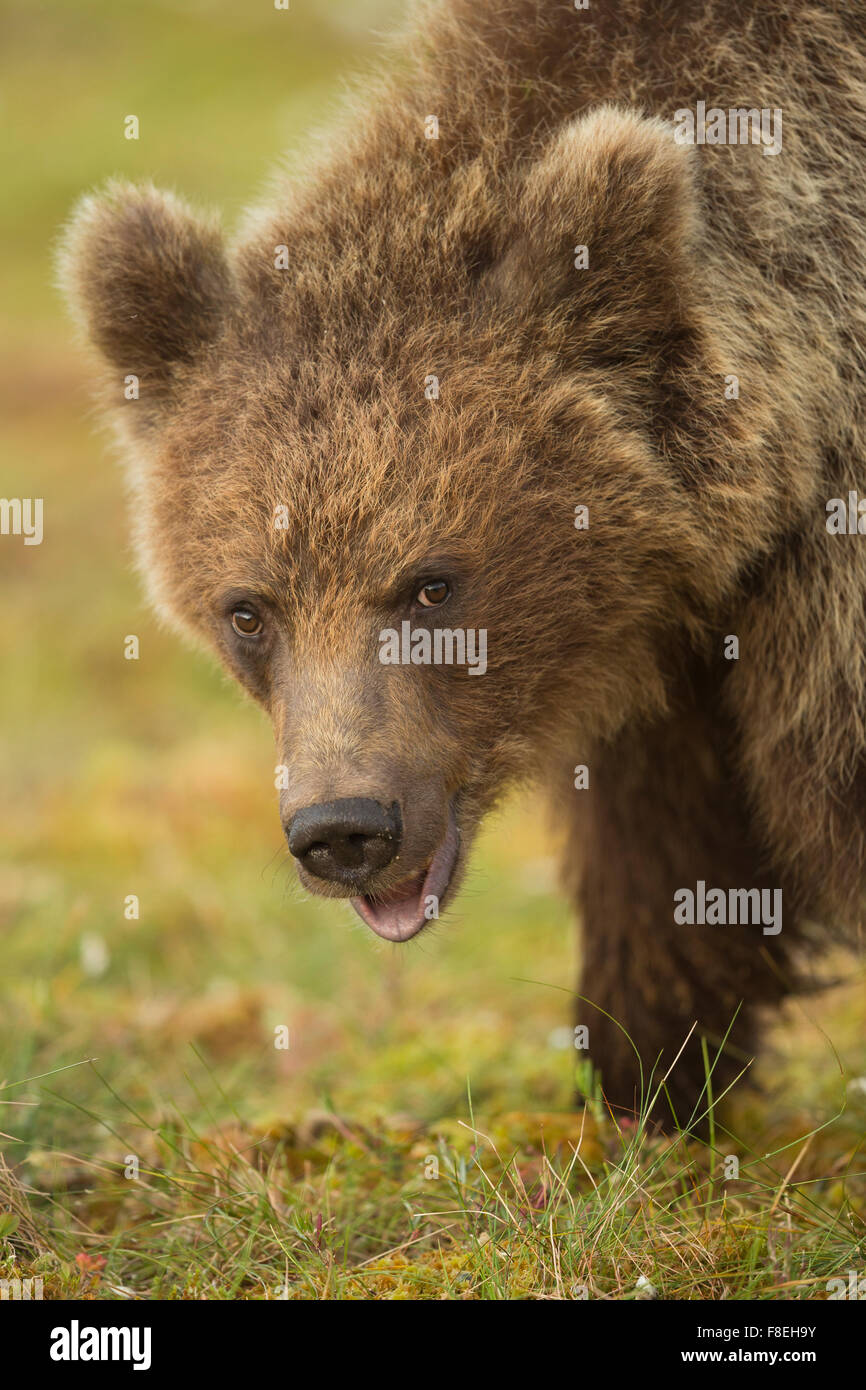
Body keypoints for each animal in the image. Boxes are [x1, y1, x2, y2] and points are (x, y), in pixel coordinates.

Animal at [60, 0, 866, 1127]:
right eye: (248, 609)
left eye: (431, 583)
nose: (342, 829)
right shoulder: (667, 639)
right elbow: (666, 848)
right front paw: (641, 1081)